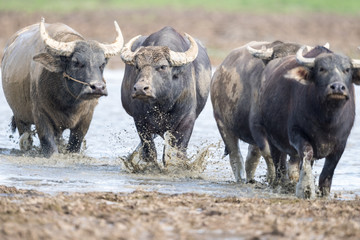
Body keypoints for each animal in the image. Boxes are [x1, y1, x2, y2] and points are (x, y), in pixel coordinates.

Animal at [1, 19, 124, 158]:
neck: (68, 102)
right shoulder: (40, 115)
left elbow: (75, 144)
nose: (97, 87)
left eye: (102, 64)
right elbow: (49, 145)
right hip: (20, 117)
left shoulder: (86, 118)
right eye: (76, 62)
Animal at [119, 26, 212, 169]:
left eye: (162, 66)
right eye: (137, 66)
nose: (140, 89)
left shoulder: (187, 119)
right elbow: (149, 149)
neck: (162, 105)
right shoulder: (140, 120)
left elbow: (179, 149)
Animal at [211, 40, 304, 184]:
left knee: (252, 156)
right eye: (278, 59)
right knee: (235, 154)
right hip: (222, 123)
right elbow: (269, 153)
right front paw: (273, 178)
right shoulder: (257, 127)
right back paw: (241, 178)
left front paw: (293, 179)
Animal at [249, 45, 360, 199]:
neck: (327, 119)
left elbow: (326, 174)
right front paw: (306, 188)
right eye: (321, 69)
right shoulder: (297, 134)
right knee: (279, 168)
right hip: (273, 141)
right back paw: (280, 185)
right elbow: (307, 155)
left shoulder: (340, 144)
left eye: (347, 69)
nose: (337, 87)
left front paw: (324, 194)